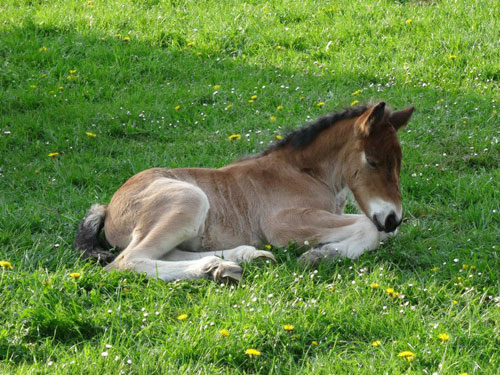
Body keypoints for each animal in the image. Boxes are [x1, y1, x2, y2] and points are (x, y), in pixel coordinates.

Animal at [74, 102, 416, 282]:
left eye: (399, 162)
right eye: (372, 161)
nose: (393, 218)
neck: (305, 173)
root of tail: (109, 206)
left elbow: (377, 232)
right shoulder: (283, 223)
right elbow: (367, 227)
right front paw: (318, 255)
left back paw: (234, 261)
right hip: (189, 199)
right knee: (128, 261)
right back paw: (217, 267)